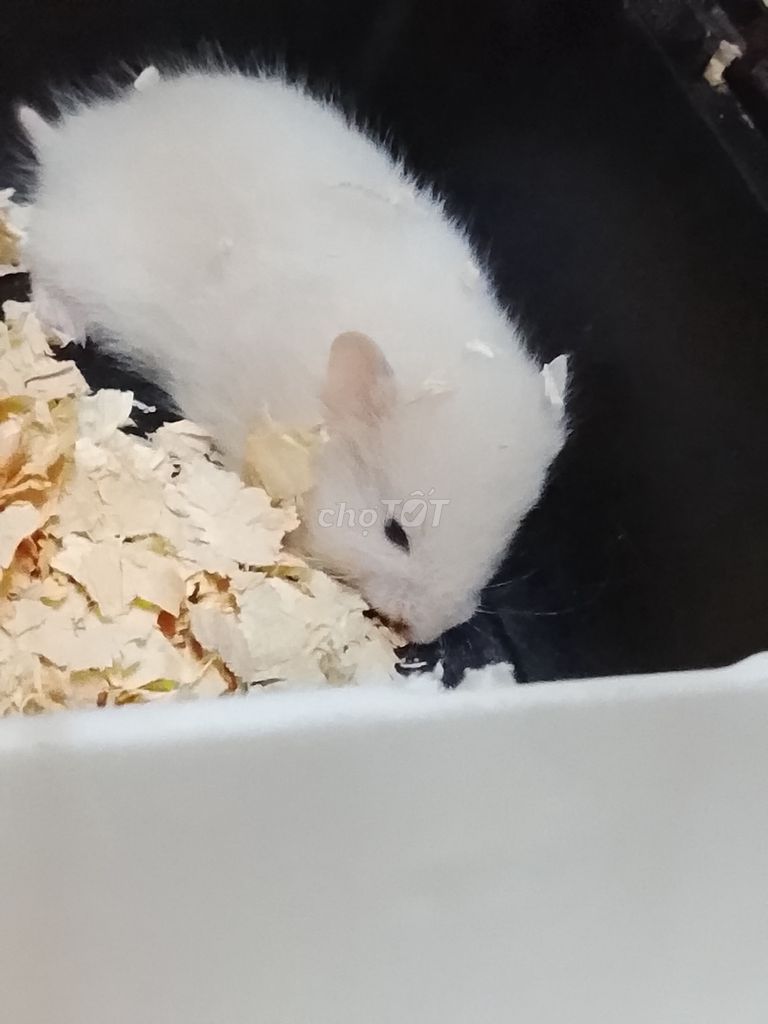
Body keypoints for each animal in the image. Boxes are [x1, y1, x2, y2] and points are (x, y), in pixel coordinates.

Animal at [18, 68, 566, 643]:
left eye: (502, 541)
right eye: (395, 533)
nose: (428, 632)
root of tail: (69, 144)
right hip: (78, 258)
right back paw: (63, 324)